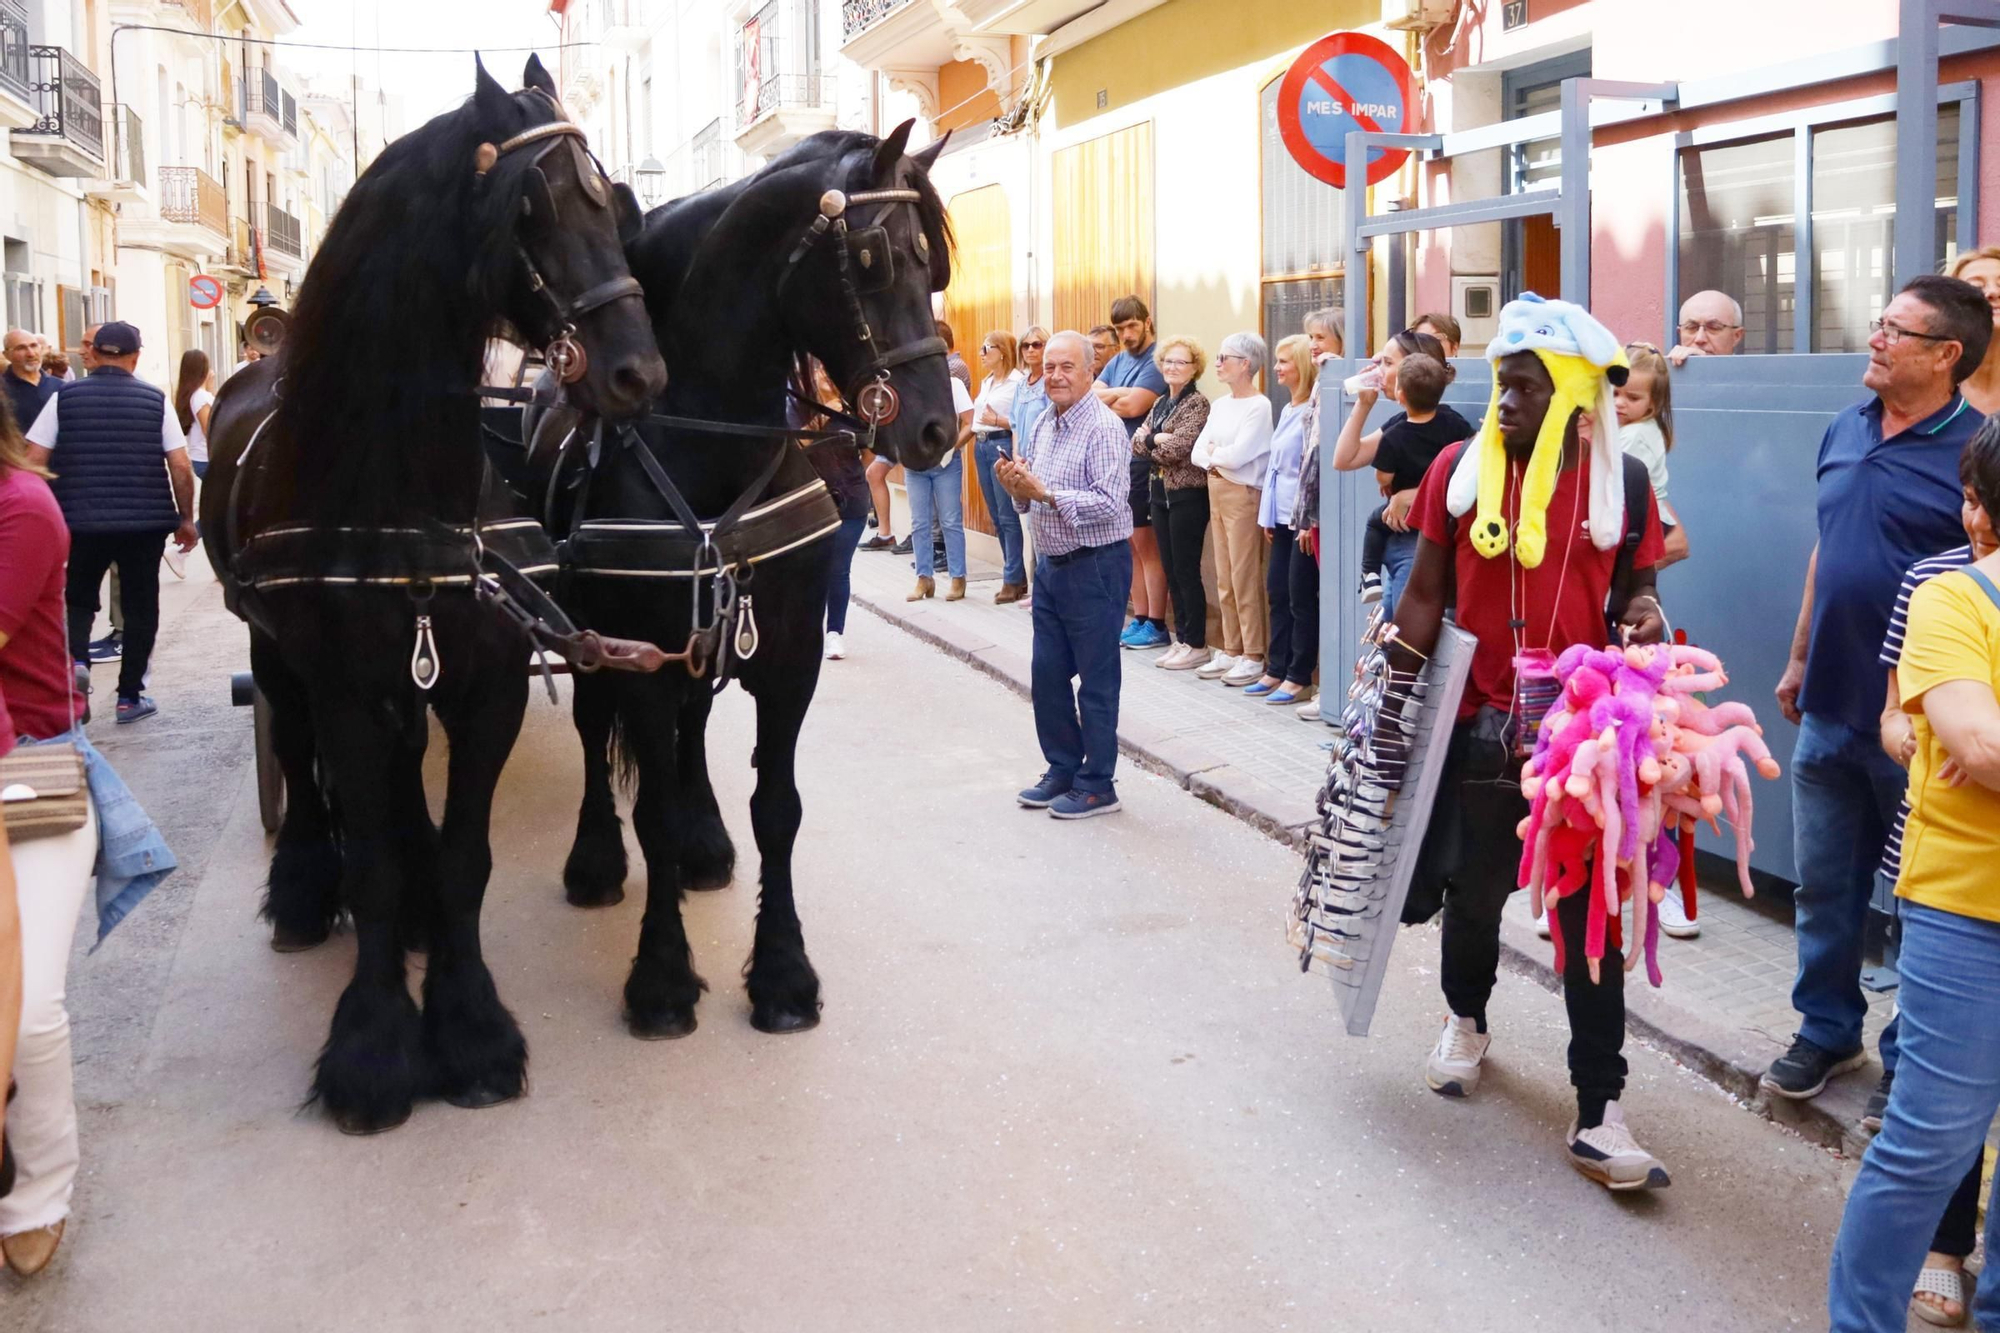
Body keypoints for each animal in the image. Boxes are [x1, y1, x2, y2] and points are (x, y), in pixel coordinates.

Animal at [208, 57, 668, 1128]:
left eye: (613, 201)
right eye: (531, 206)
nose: (640, 370)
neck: (403, 483)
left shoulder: (484, 681)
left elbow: (465, 857)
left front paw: (469, 1030)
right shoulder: (344, 688)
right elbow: (373, 859)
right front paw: (374, 1048)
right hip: (273, 652)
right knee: (302, 757)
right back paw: (304, 889)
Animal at [544, 122, 956, 1040]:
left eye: (936, 266)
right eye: (874, 259)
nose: (937, 428)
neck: (712, 445)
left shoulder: (790, 653)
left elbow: (779, 807)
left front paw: (783, 972)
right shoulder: (638, 653)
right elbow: (651, 809)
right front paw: (662, 977)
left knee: (693, 727)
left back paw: (706, 842)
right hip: (590, 636)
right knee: (591, 732)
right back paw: (595, 857)